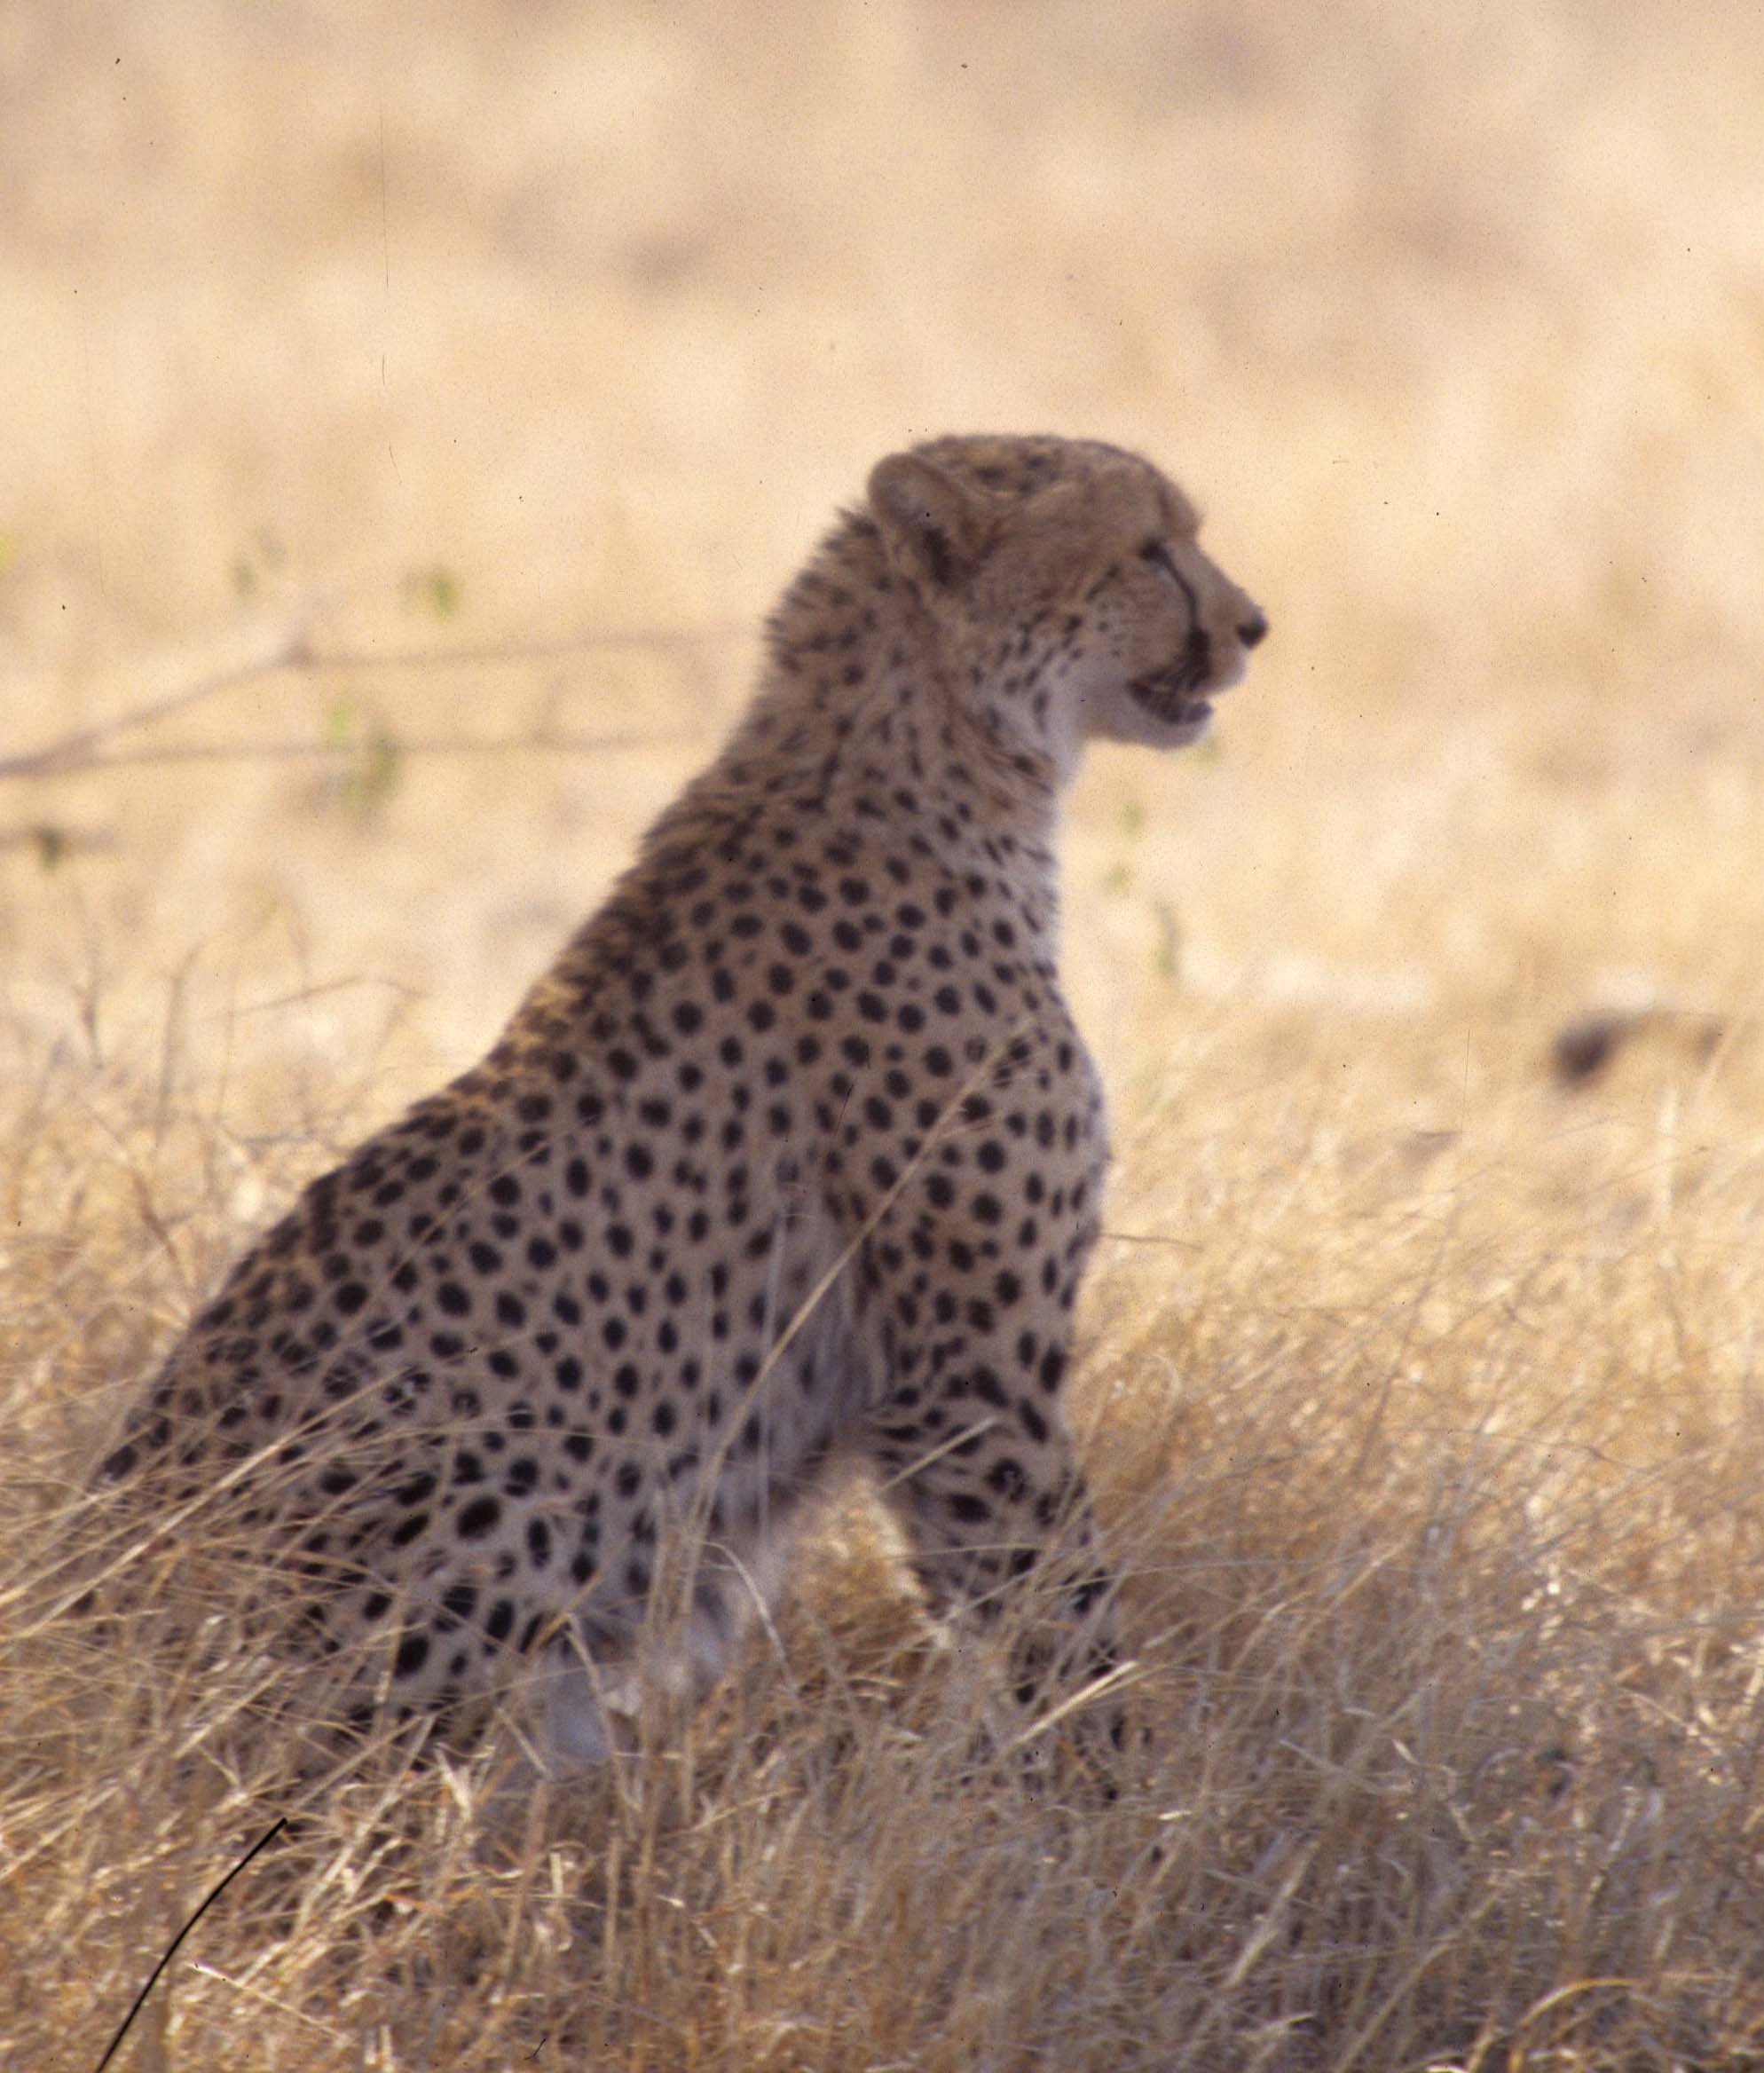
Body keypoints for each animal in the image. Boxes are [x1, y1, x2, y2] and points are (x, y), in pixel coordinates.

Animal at [99, 433, 1267, 1769]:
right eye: (1149, 550)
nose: (1252, 623)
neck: (938, 756)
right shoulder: (967, 1372)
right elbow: (1058, 1614)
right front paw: (1123, 1793)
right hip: (506, 1484)